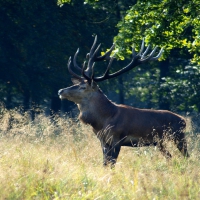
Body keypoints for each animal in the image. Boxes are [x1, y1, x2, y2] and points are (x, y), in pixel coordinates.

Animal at [57, 36, 189, 167]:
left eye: (83, 87)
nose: (60, 91)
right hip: (160, 142)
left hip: (178, 136)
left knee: (186, 156)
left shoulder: (117, 138)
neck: (103, 120)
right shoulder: (102, 140)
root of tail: (183, 120)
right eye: (77, 84)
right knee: (170, 157)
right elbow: (105, 163)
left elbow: (112, 163)